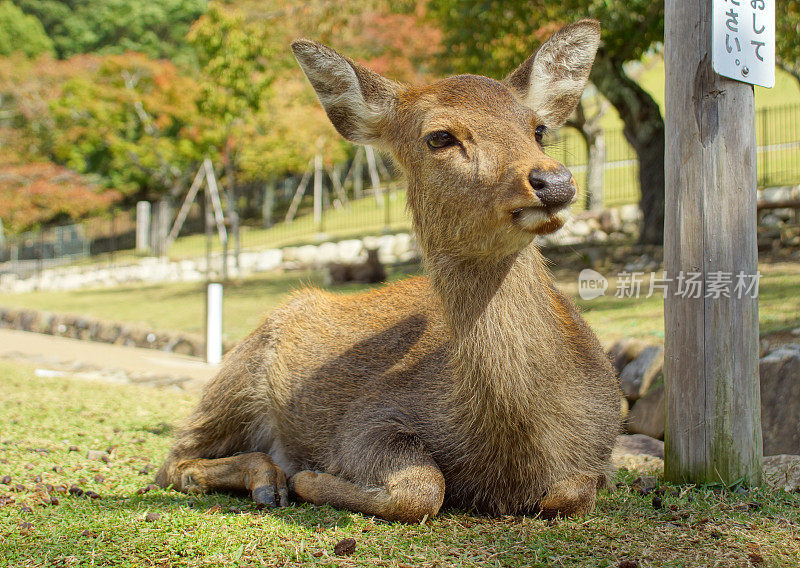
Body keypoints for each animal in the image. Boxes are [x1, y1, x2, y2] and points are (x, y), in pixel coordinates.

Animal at [155, 20, 620, 520]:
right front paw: (311, 478)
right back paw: (270, 479)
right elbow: (424, 487)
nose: (554, 181)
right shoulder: (367, 417)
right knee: (173, 460)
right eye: (440, 136)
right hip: (238, 375)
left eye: (538, 128)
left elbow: (574, 491)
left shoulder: (604, 447)